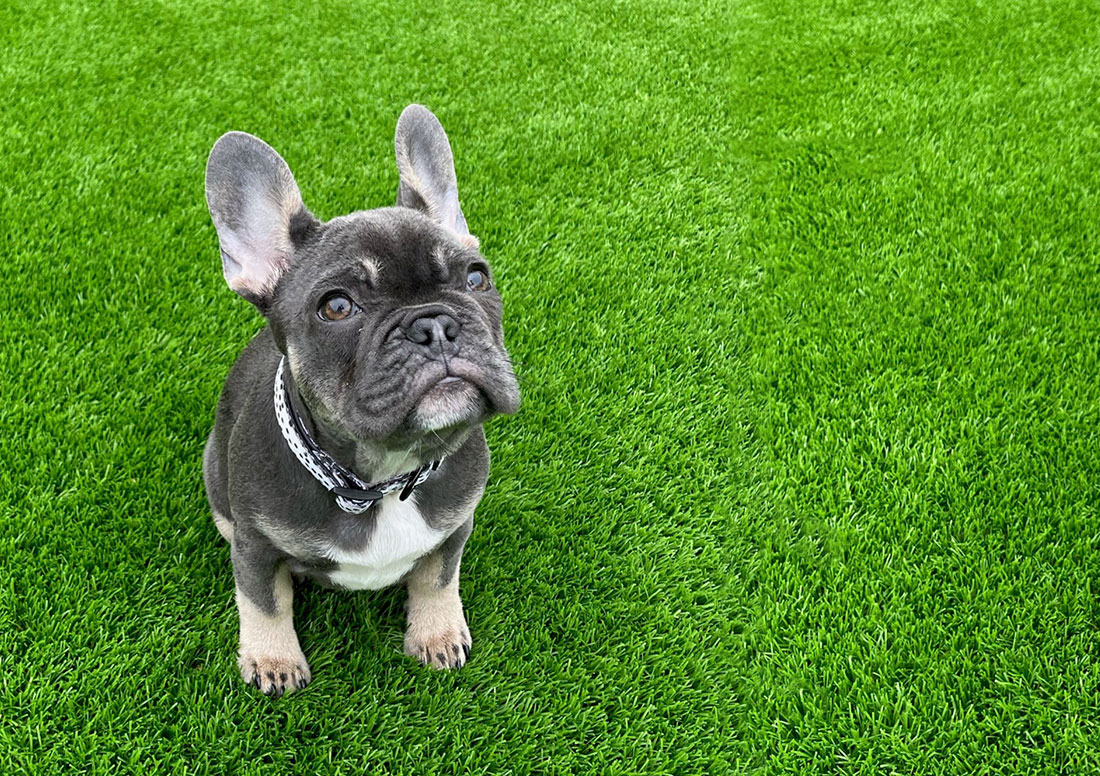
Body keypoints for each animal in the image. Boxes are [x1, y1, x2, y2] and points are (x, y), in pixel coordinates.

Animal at [201, 104, 519, 695]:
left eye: (476, 277)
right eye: (337, 307)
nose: (434, 325)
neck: (383, 479)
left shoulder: (456, 526)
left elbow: (438, 577)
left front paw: (437, 634)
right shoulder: (255, 545)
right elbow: (263, 600)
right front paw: (273, 659)